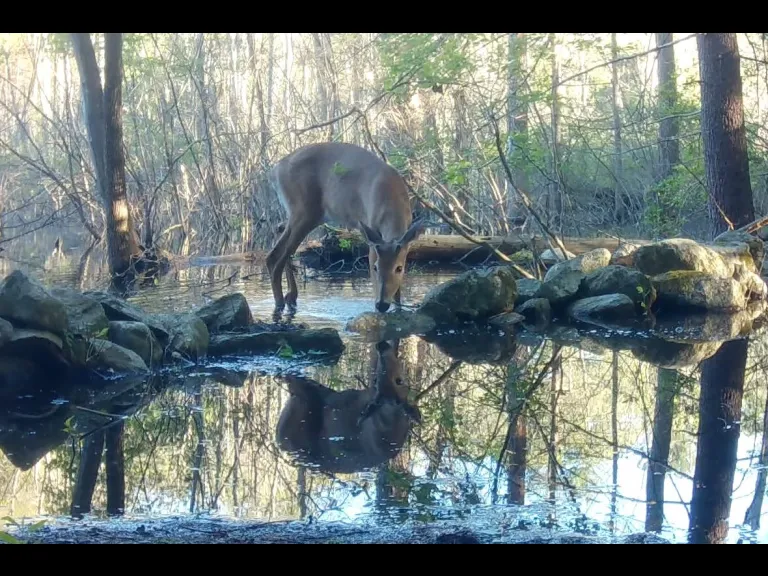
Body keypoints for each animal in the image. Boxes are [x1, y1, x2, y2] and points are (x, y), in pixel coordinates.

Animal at [266, 142, 425, 314]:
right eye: (375, 268)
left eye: (399, 268)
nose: (382, 304)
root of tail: (275, 170)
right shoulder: (371, 234)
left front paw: (398, 309)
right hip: (304, 211)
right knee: (275, 257)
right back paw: (280, 304)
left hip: (303, 214)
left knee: (278, 231)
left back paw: (291, 298)